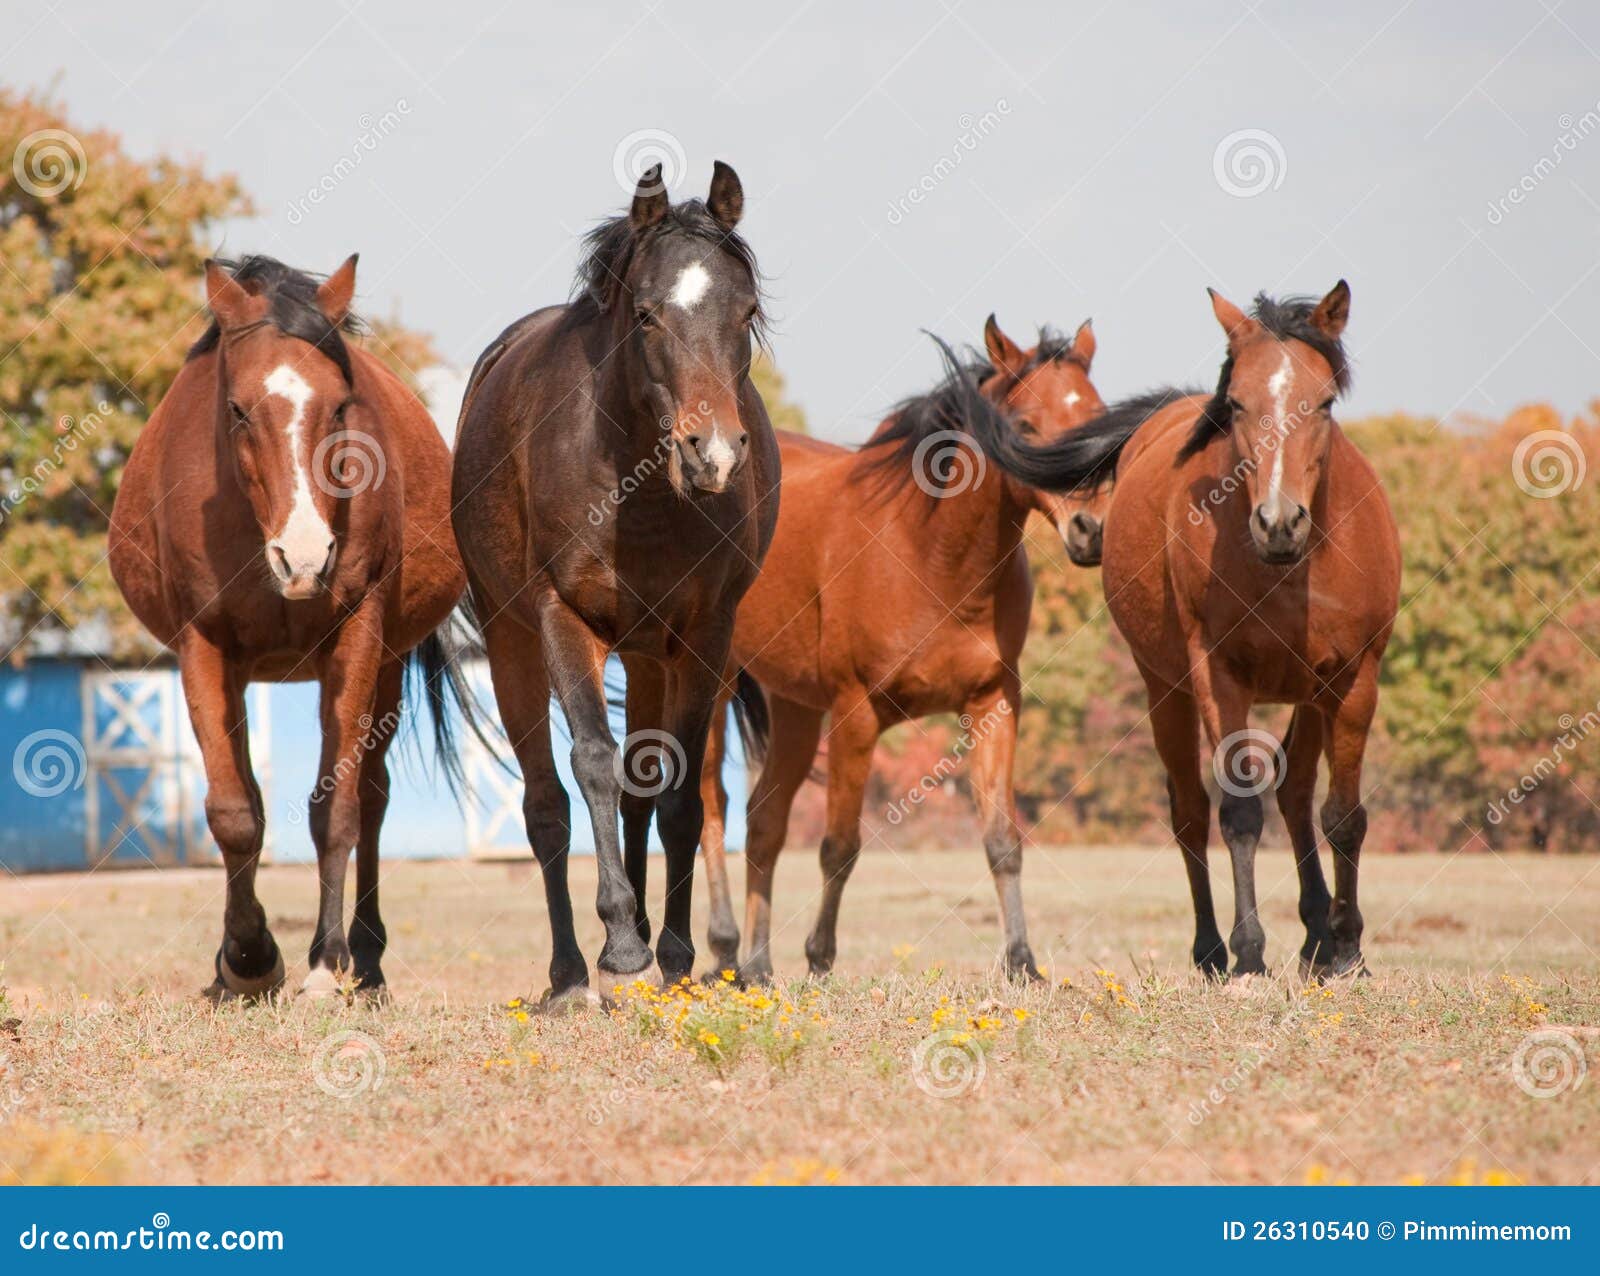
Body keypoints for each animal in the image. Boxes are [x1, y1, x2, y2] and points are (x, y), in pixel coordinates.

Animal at [109, 254, 469, 999]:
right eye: (237, 409)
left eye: (340, 405)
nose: (304, 557)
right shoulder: (204, 648)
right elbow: (233, 812)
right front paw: (247, 958)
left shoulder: (357, 637)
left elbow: (337, 809)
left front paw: (326, 963)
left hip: (387, 666)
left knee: (372, 796)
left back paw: (368, 960)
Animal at [451, 162, 780, 1006]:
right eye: (646, 315)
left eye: (747, 311)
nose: (713, 455)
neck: (641, 488)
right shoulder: (562, 619)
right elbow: (593, 762)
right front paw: (623, 944)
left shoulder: (703, 636)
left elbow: (679, 793)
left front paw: (674, 952)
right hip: (512, 639)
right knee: (545, 803)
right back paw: (572, 972)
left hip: (648, 654)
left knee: (644, 789)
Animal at [669, 316, 1106, 983]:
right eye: (1026, 427)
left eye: (1097, 417)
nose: (1090, 531)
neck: (932, 554)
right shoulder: (857, 712)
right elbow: (840, 847)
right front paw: (820, 960)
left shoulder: (993, 705)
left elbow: (1002, 842)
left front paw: (1023, 964)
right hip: (715, 688)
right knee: (712, 808)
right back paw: (723, 952)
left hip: (796, 707)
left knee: (765, 822)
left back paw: (758, 967)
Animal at [988, 281, 1399, 978]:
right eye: (1236, 403)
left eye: (1323, 402)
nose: (1279, 522)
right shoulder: (1217, 674)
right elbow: (1237, 811)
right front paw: (1250, 952)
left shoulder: (1354, 679)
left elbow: (1343, 816)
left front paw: (1347, 952)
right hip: (1167, 691)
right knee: (1189, 811)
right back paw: (1212, 948)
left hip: (1310, 693)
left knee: (1296, 795)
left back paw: (1317, 940)